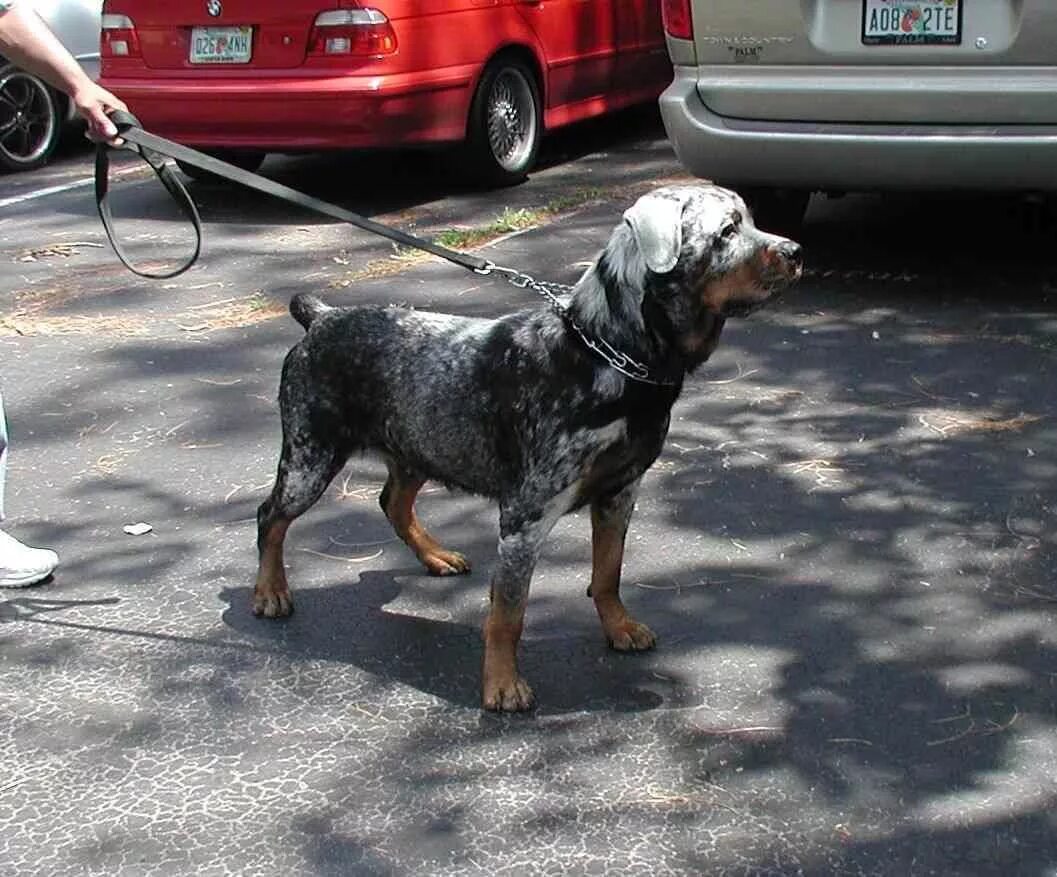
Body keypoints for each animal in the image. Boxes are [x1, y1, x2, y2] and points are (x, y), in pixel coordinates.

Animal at [253, 185, 799, 714]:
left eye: (751, 220)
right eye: (727, 231)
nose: (796, 252)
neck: (610, 355)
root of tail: (322, 318)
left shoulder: (620, 492)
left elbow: (608, 572)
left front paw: (619, 627)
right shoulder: (525, 517)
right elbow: (508, 611)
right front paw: (502, 685)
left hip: (419, 443)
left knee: (392, 502)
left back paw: (436, 557)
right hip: (310, 457)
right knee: (270, 516)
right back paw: (270, 591)